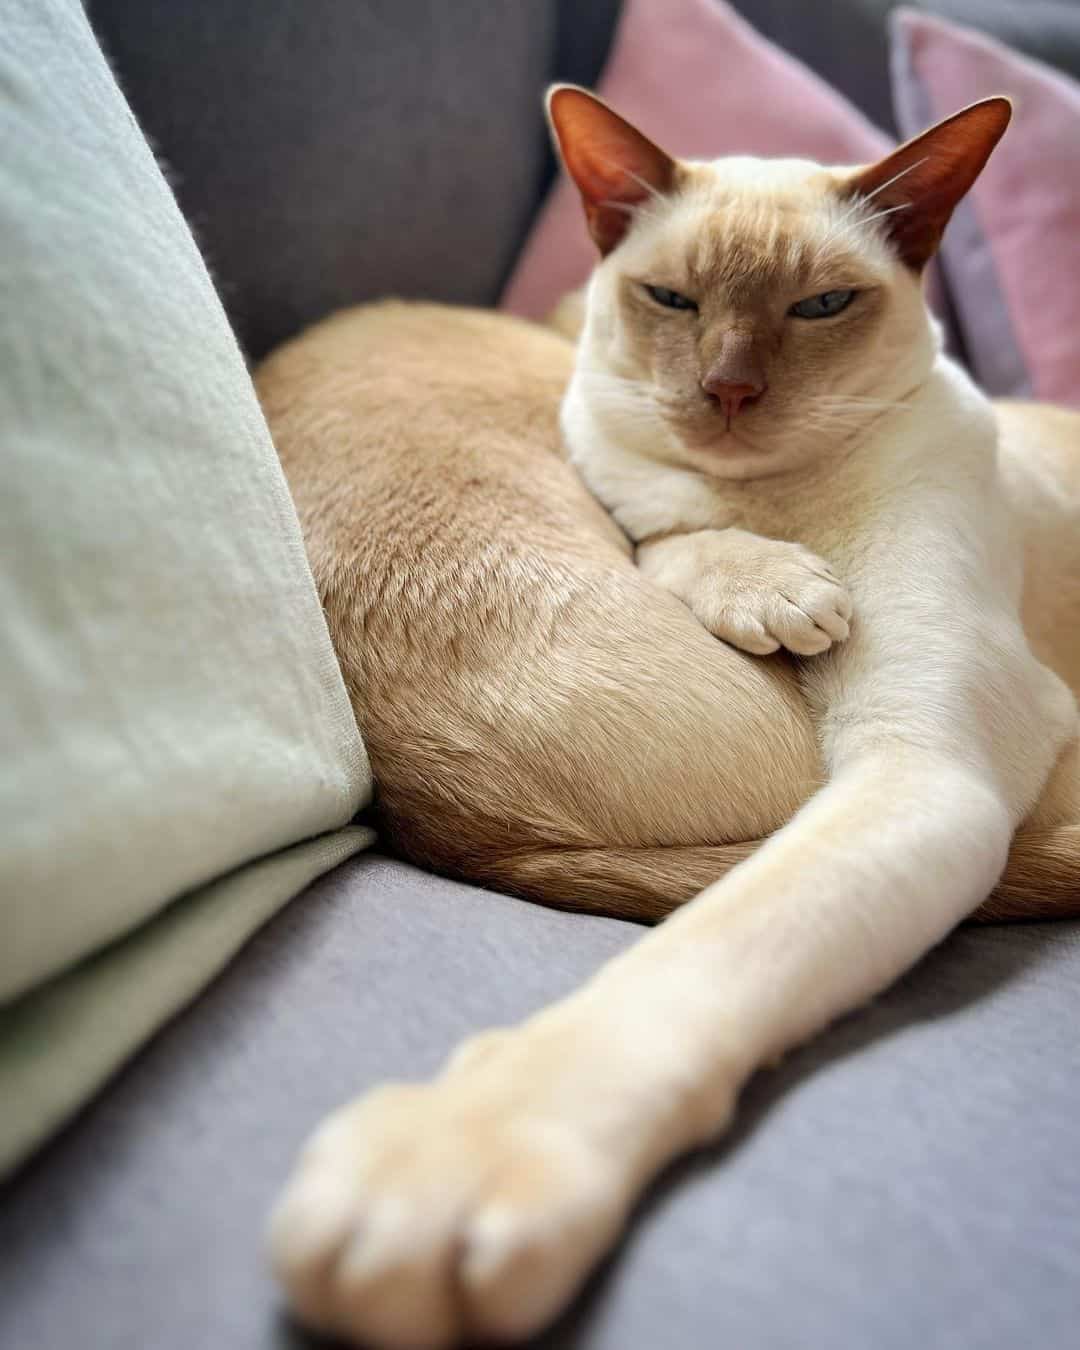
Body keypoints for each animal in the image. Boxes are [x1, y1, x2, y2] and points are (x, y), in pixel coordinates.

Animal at [255, 89, 1080, 1344]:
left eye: (821, 305)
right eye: (676, 301)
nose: (730, 392)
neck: (770, 499)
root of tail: (456, 824)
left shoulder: (923, 765)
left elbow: (699, 958)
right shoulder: (642, 503)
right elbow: (676, 537)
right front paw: (776, 594)